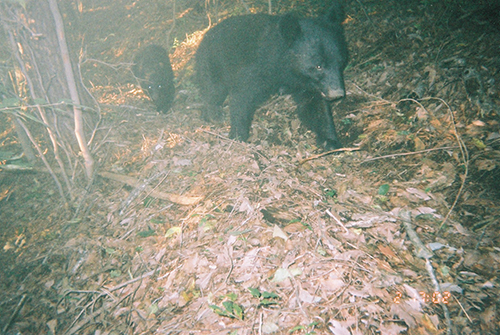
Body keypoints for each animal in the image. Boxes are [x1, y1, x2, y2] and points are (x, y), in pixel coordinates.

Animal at [195, 0, 348, 150]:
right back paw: (213, 114)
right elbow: (242, 96)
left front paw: (330, 141)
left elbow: (314, 105)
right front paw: (238, 136)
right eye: (318, 66)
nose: (337, 93)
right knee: (214, 90)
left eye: (340, 63)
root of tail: (204, 36)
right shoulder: (257, 68)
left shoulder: (308, 83)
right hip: (213, 62)